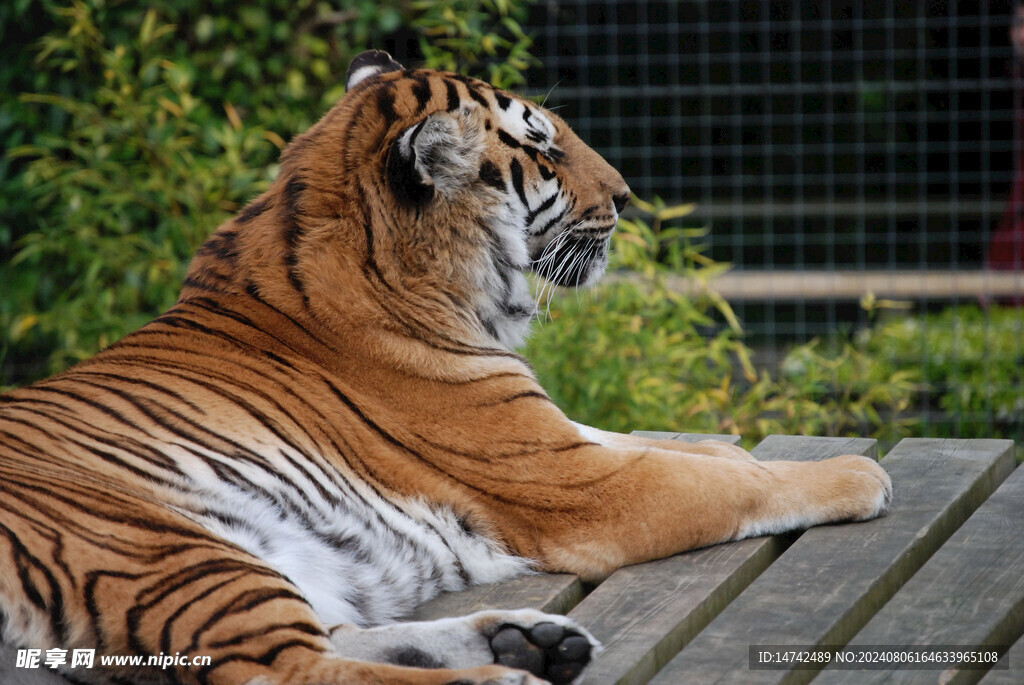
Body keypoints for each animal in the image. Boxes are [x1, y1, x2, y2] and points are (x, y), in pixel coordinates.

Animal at [0, 50, 893, 685]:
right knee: (281, 668)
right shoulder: (577, 484)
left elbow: (674, 446)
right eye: (544, 149)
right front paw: (857, 473)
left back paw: (525, 638)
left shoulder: (552, 432)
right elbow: (719, 481)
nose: (629, 195)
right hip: (154, 541)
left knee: (330, 636)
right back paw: (503, 675)